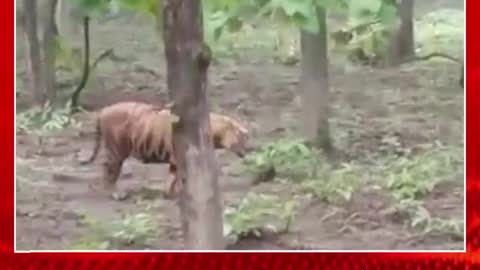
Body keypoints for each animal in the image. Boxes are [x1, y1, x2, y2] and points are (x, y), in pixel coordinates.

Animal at [80, 101, 249, 200]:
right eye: (243, 139)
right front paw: (175, 194)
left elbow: (173, 178)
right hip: (117, 150)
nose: (249, 150)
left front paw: (171, 193)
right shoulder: (178, 157)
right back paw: (115, 193)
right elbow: (176, 178)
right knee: (110, 171)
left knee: (106, 169)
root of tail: (103, 110)